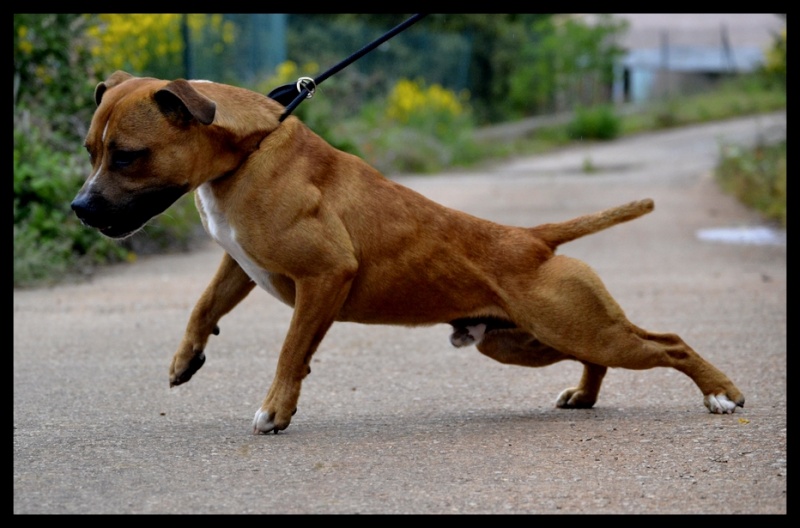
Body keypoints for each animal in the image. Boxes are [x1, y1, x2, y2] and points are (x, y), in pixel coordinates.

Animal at [70, 70, 744, 434]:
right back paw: (583, 395)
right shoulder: (239, 263)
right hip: (526, 340)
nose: (78, 206)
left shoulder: (324, 276)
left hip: (578, 328)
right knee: (600, 358)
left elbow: (291, 351)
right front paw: (185, 359)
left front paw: (275, 411)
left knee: (668, 344)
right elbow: (203, 307)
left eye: (127, 156)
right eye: (90, 150)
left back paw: (721, 393)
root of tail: (534, 238)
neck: (246, 149)